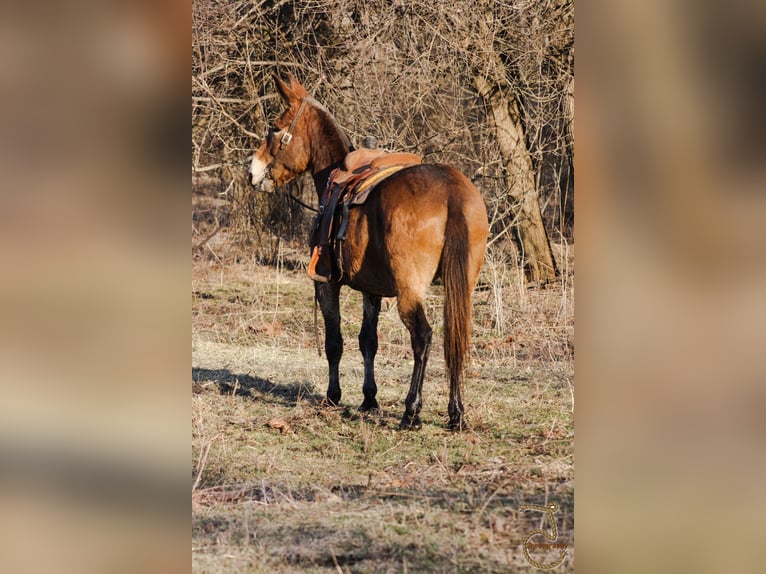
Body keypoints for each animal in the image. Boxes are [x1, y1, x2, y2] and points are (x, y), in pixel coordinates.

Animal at [252, 74, 492, 430]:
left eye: (274, 128)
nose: (252, 171)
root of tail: (451, 189)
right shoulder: (372, 290)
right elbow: (369, 341)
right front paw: (369, 399)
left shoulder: (327, 284)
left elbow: (335, 342)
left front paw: (333, 396)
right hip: (461, 287)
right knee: (456, 337)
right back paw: (456, 413)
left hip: (410, 290)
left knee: (422, 337)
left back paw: (411, 411)